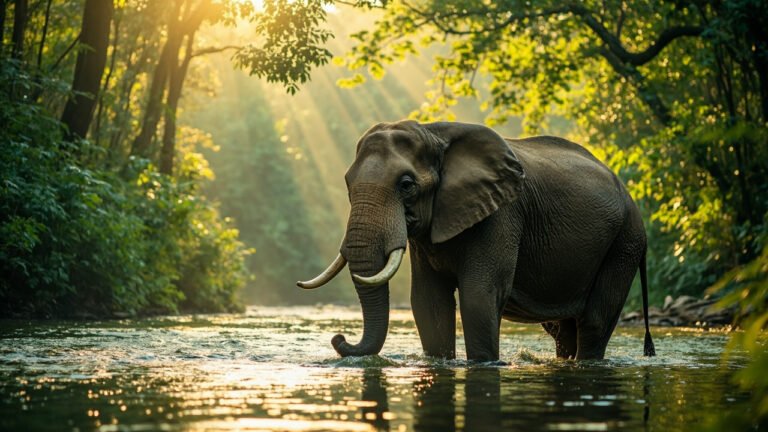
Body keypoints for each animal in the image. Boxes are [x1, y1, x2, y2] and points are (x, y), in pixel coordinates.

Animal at [298, 120, 656, 361]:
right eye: (347, 183)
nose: (339, 338)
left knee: (594, 320)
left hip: (625, 242)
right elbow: (427, 302)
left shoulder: (502, 214)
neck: (434, 133)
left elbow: (478, 296)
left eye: (406, 185)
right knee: (562, 330)